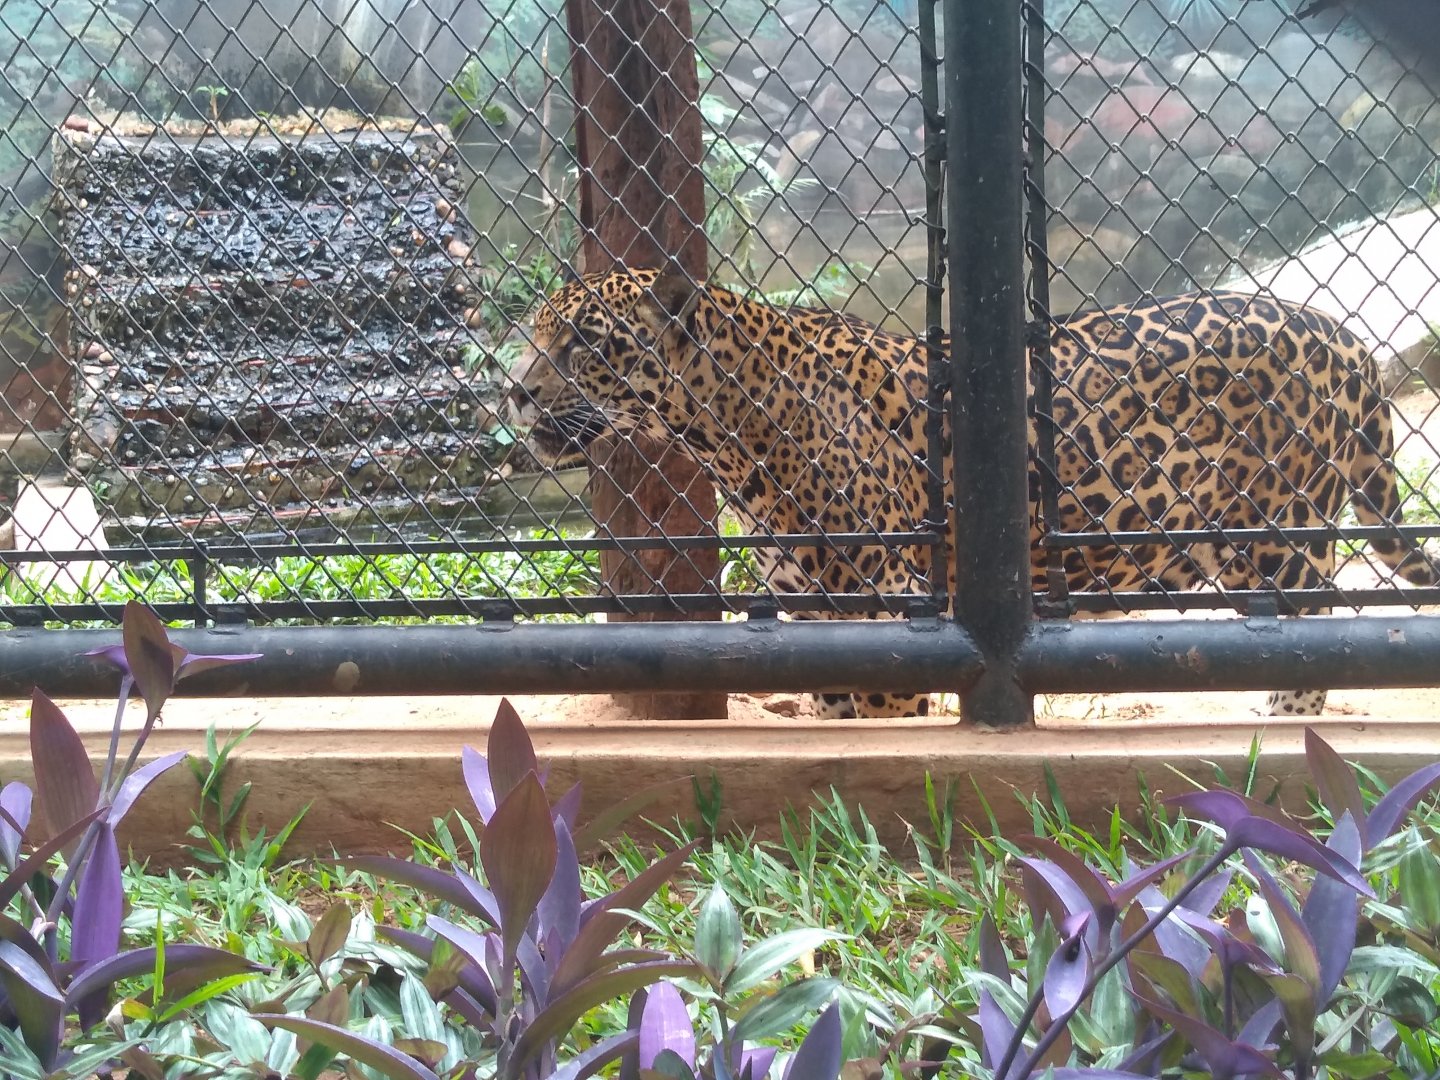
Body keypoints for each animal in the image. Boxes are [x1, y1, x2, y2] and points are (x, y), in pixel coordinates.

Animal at [506, 265, 1438, 720]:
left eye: (584, 341)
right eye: (536, 334)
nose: (515, 390)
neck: (730, 431)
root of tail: (1348, 337)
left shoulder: (887, 623)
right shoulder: (815, 625)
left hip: (1277, 542)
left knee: (1309, 649)